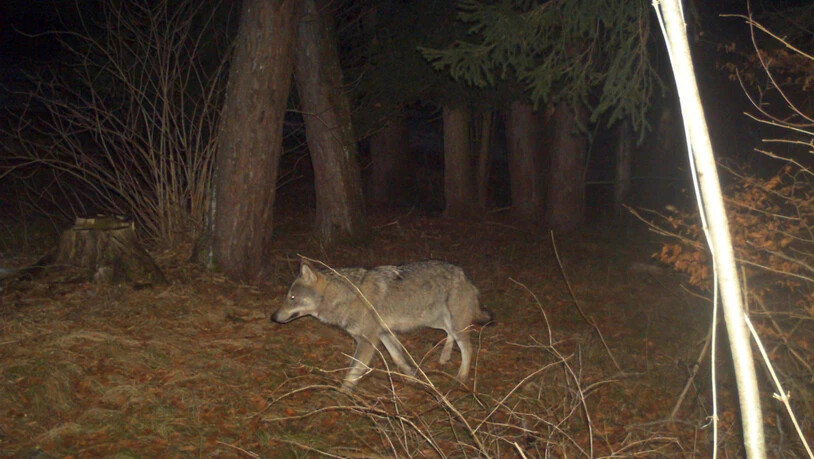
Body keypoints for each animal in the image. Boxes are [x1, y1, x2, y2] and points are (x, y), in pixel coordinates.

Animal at [271, 260, 492, 390]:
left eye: (292, 298)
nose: (273, 317)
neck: (347, 298)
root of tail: (464, 274)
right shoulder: (384, 334)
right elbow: (399, 359)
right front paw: (414, 379)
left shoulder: (367, 341)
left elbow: (353, 371)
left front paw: (342, 397)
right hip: (435, 320)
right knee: (449, 334)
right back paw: (445, 357)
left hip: (453, 322)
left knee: (467, 348)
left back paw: (461, 376)